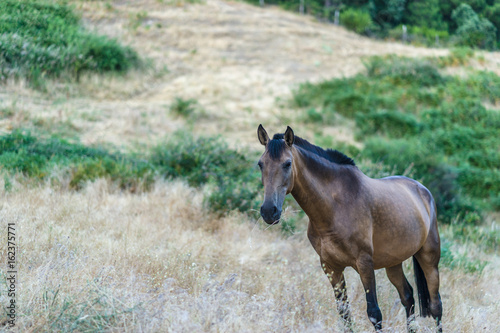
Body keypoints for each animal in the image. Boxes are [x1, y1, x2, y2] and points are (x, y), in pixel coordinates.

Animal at [258, 125, 442, 332]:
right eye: (260, 164)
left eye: (287, 163)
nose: (269, 211)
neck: (336, 206)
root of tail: (423, 190)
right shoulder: (331, 268)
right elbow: (344, 313)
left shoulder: (364, 264)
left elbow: (374, 313)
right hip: (393, 263)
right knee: (408, 296)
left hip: (429, 258)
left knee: (436, 306)